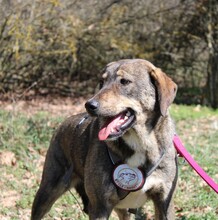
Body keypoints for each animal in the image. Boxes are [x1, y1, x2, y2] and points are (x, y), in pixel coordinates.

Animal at [30, 58, 178, 220]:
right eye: (101, 82)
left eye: (124, 82)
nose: (89, 105)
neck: (140, 143)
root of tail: (62, 124)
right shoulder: (99, 206)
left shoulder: (164, 201)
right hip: (47, 191)